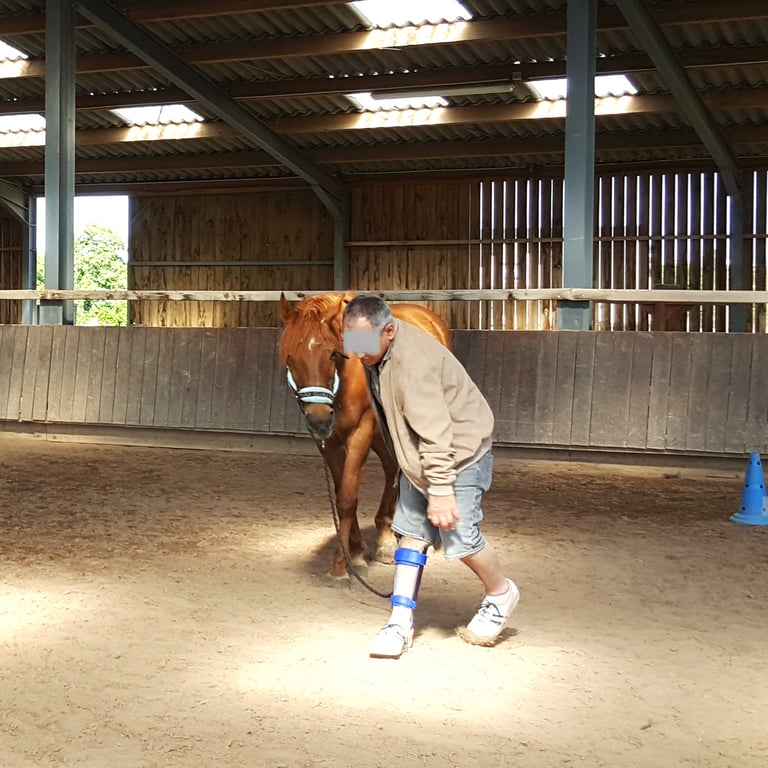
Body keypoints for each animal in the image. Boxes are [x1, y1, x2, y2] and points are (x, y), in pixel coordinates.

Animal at [279, 292, 452, 580]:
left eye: (332, 354)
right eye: (291, 357)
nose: (319, 419)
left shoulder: (361, 432)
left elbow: (348, 497)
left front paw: (340, 566)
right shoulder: (328, 442)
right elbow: (342, 492)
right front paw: (357, 552)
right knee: (393, 468)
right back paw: (385, 538)